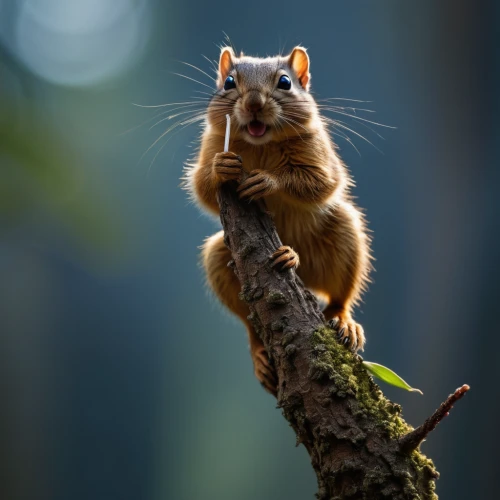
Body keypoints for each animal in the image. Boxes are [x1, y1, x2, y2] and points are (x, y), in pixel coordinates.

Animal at [184, 46, 372, 394]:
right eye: (229, 82)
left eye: (285, 82)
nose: (254, 104)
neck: (261, 144)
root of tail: (307, 281)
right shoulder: (212, 144)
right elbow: (202, 188)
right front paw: (220, 168)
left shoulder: (320, 154)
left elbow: (319, 183)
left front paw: (268, 181)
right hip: (217, 258)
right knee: (249, 325)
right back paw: (260, 355)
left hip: (344, 232)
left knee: (340, 297)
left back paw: (336, 312)